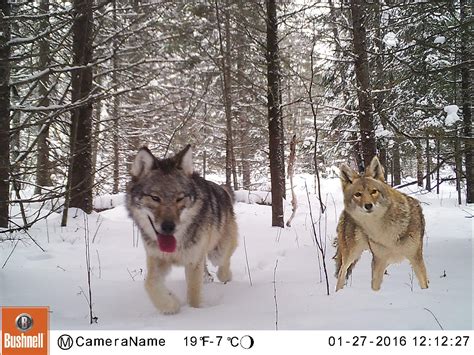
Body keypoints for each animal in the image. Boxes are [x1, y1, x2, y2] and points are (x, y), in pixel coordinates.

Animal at [126, 146, 237, 316]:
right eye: (155, 198)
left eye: (179, 198)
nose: (168, 227)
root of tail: (223, 189)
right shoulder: (156, 258)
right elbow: (149, 283)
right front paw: (171, 305)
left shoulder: (193, 262)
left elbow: (194, 295)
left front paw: (193, 313)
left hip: (217, 253)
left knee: (223, 263)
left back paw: (226, 277)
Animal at [334, 158, 430, 292]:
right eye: (357, 194)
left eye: (374, 192)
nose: (368, 205)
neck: (386, 230)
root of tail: (344, 212)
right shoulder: (379, 260)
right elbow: (375, 287)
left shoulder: (416, 259)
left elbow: (424, 284)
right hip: (352, 254)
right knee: (341, 273)